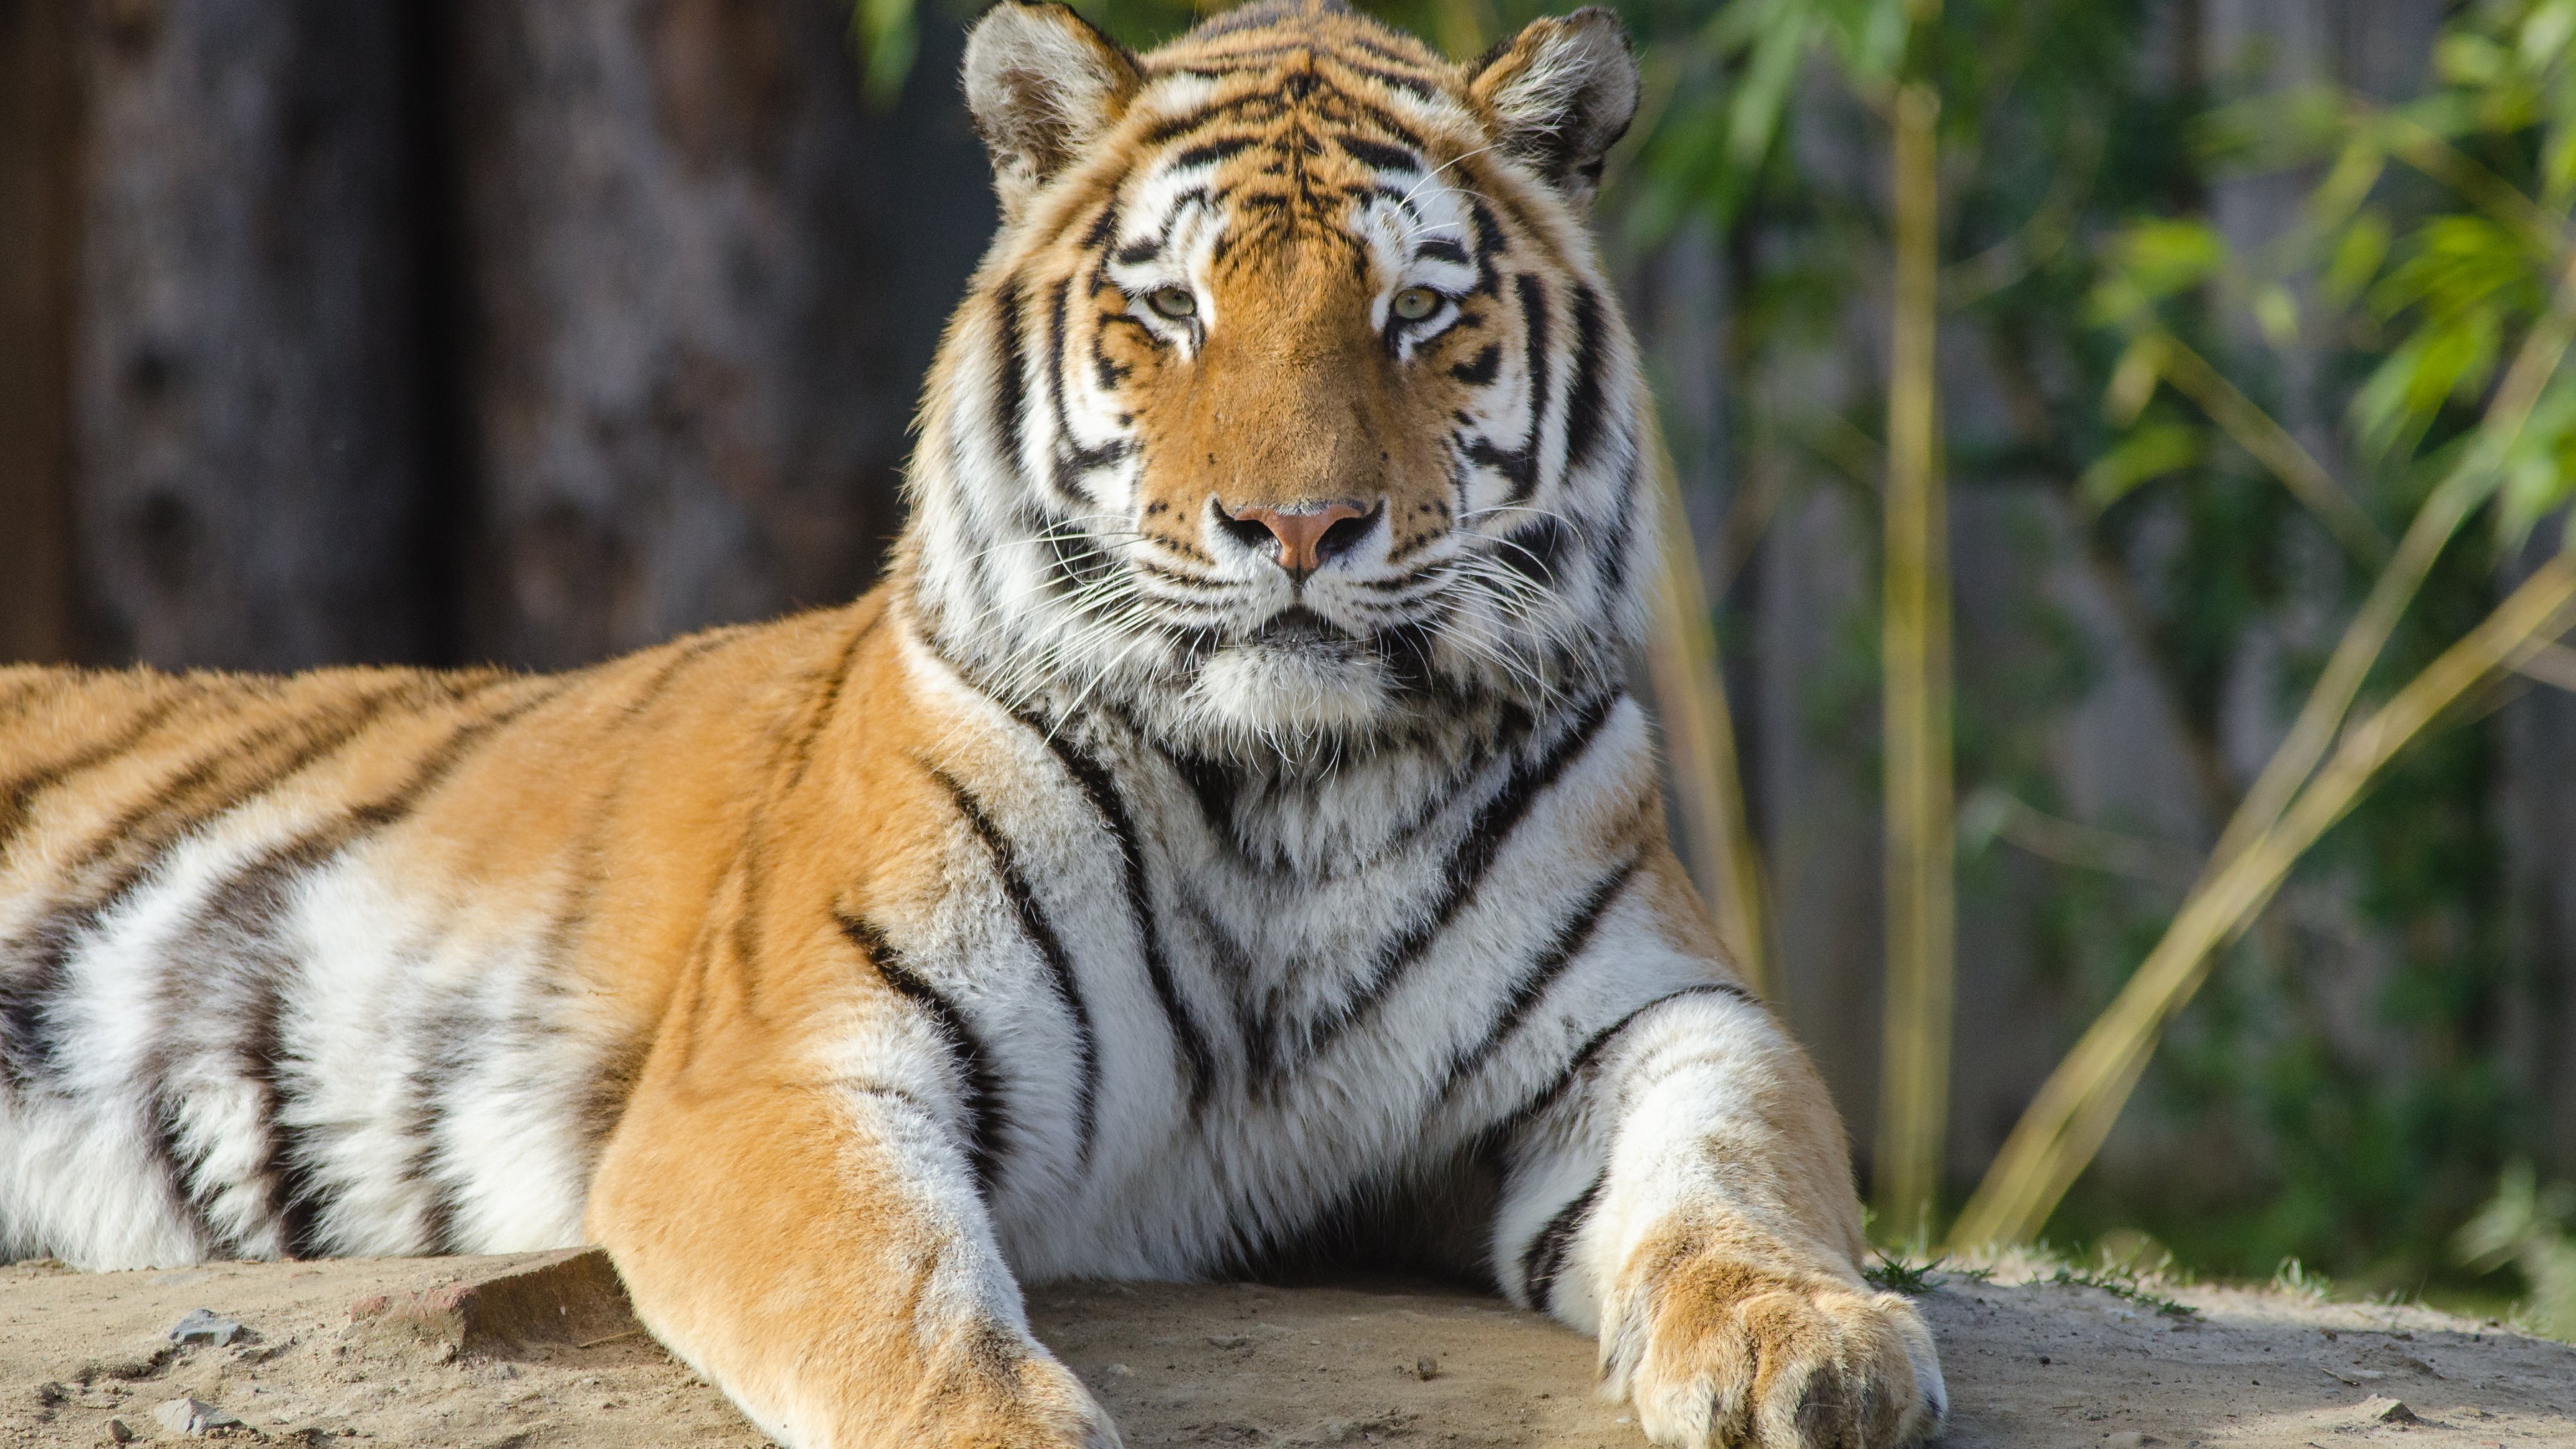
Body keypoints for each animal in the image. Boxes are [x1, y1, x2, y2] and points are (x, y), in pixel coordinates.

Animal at [0, 0, 1937, 1433]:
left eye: (1416, 313)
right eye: (1171, 309)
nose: (1300, 527)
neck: (1284, 793)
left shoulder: (1663, 1017)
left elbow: (1739, 1179)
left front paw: (1811, 1346)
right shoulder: (782, 1068)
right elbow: (902, 1311)